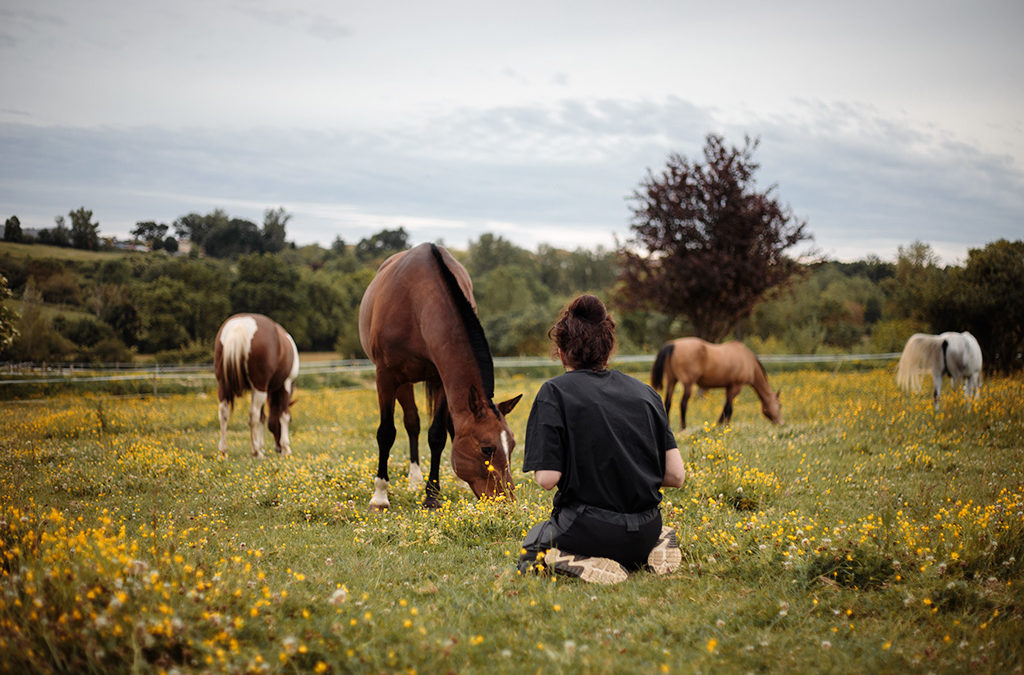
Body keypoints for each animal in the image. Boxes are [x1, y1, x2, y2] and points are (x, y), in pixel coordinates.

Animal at [214, 313, 299, 462]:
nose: (278, 449)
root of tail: (239, 327)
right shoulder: (286, 385)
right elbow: (283, 416)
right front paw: (286, 448)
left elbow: (263, 417)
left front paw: (263, 446)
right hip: (260, 388)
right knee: (253, 414)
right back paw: (256, 452)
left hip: (224, 385)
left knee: (223, 413)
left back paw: (223, 452)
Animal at [358, 240, 520, 510]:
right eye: (487, 449)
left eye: (513, 445)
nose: (507, 502)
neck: (417, 301)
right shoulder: (386, 376)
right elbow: (386, 433)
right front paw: (379, 496)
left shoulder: (442, 380)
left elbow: (437, 435)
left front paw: (432, 495)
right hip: (402, 382)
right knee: (411, 422)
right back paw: (413, 479)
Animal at [647, 338, 782, 432]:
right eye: (780, 406)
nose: (780, 423)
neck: (747, 360)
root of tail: (673, 344)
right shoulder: (736, 387)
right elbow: (729, 408)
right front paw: (723, 425)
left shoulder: (729, 387)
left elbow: (726, 408)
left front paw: (720, 425)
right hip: (688, 384)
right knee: (683, 404)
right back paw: (683, 427)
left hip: (671, 381)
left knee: (667, 403)